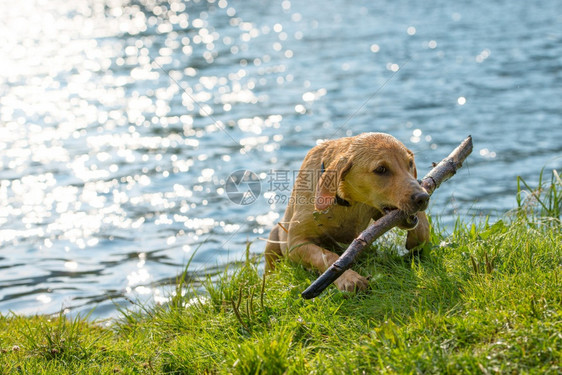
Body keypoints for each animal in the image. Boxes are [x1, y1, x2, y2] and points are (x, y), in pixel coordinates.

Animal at [264, 134, 428, 292]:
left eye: (410, 163)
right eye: (381, 169)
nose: (423, 198)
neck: (346, 202)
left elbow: (422, 229)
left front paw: (416, 239)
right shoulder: (295, 243)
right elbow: (326, 256)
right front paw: (349, 279)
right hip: (273, 241)